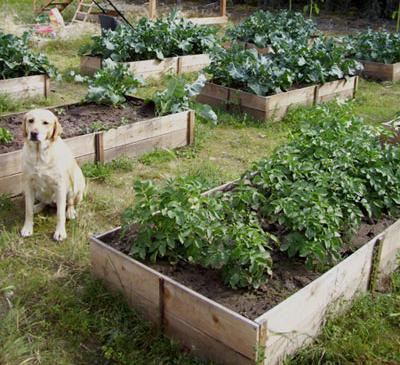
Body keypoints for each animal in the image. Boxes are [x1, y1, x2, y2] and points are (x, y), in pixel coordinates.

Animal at [20, 109, 85, 239]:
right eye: (30, 120)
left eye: (45, 123)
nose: (34, 133)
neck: (39, 154)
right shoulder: (28, 184)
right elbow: (28, 210)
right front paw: (27, 228)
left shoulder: (59, 186)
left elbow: (60, 214)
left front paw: (60, 232)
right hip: (39, 192)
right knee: (44, 202)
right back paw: (37, 207)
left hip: (75, 184)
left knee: (70, 203)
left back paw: (70, 212)